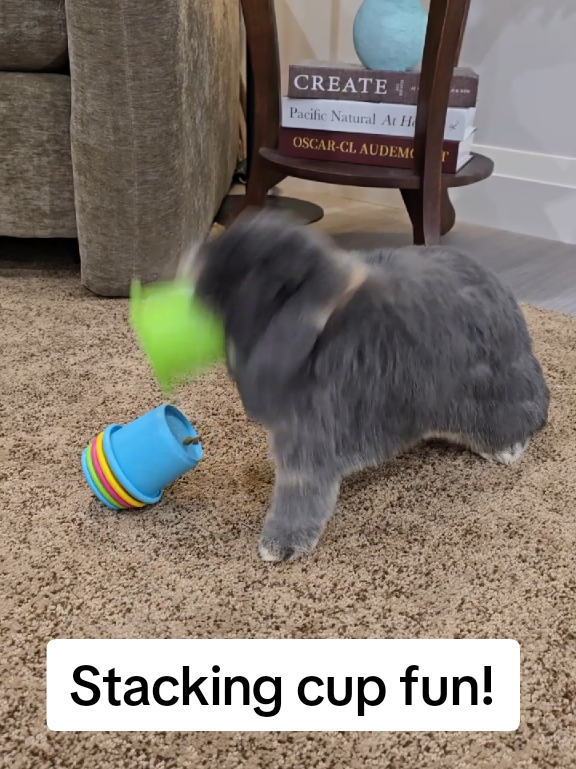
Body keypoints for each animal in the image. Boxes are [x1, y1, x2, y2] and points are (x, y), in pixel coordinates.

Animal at [189, 208, 550, 562]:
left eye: (250, 275)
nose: (197, 270)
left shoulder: (309, 436)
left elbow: (299, 492)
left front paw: (278, 546)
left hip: (490, 392)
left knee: (521, 420)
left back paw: (507, 448)